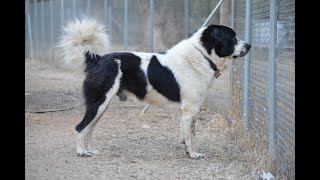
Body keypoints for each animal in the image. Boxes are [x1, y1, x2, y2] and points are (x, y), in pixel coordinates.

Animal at [58, 17, 251, 159]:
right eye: (232, 38)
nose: (249, 45)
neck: (202, 55)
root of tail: (97, 59)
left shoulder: (187, 112)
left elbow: (187, 134)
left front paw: (188, 149)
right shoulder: (190, 109)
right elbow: (191, 137)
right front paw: (193, 154)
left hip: (100, 106)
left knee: (89, 129)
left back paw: (89, 150)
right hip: (98, 102)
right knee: (81, 127)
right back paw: (81, 152)